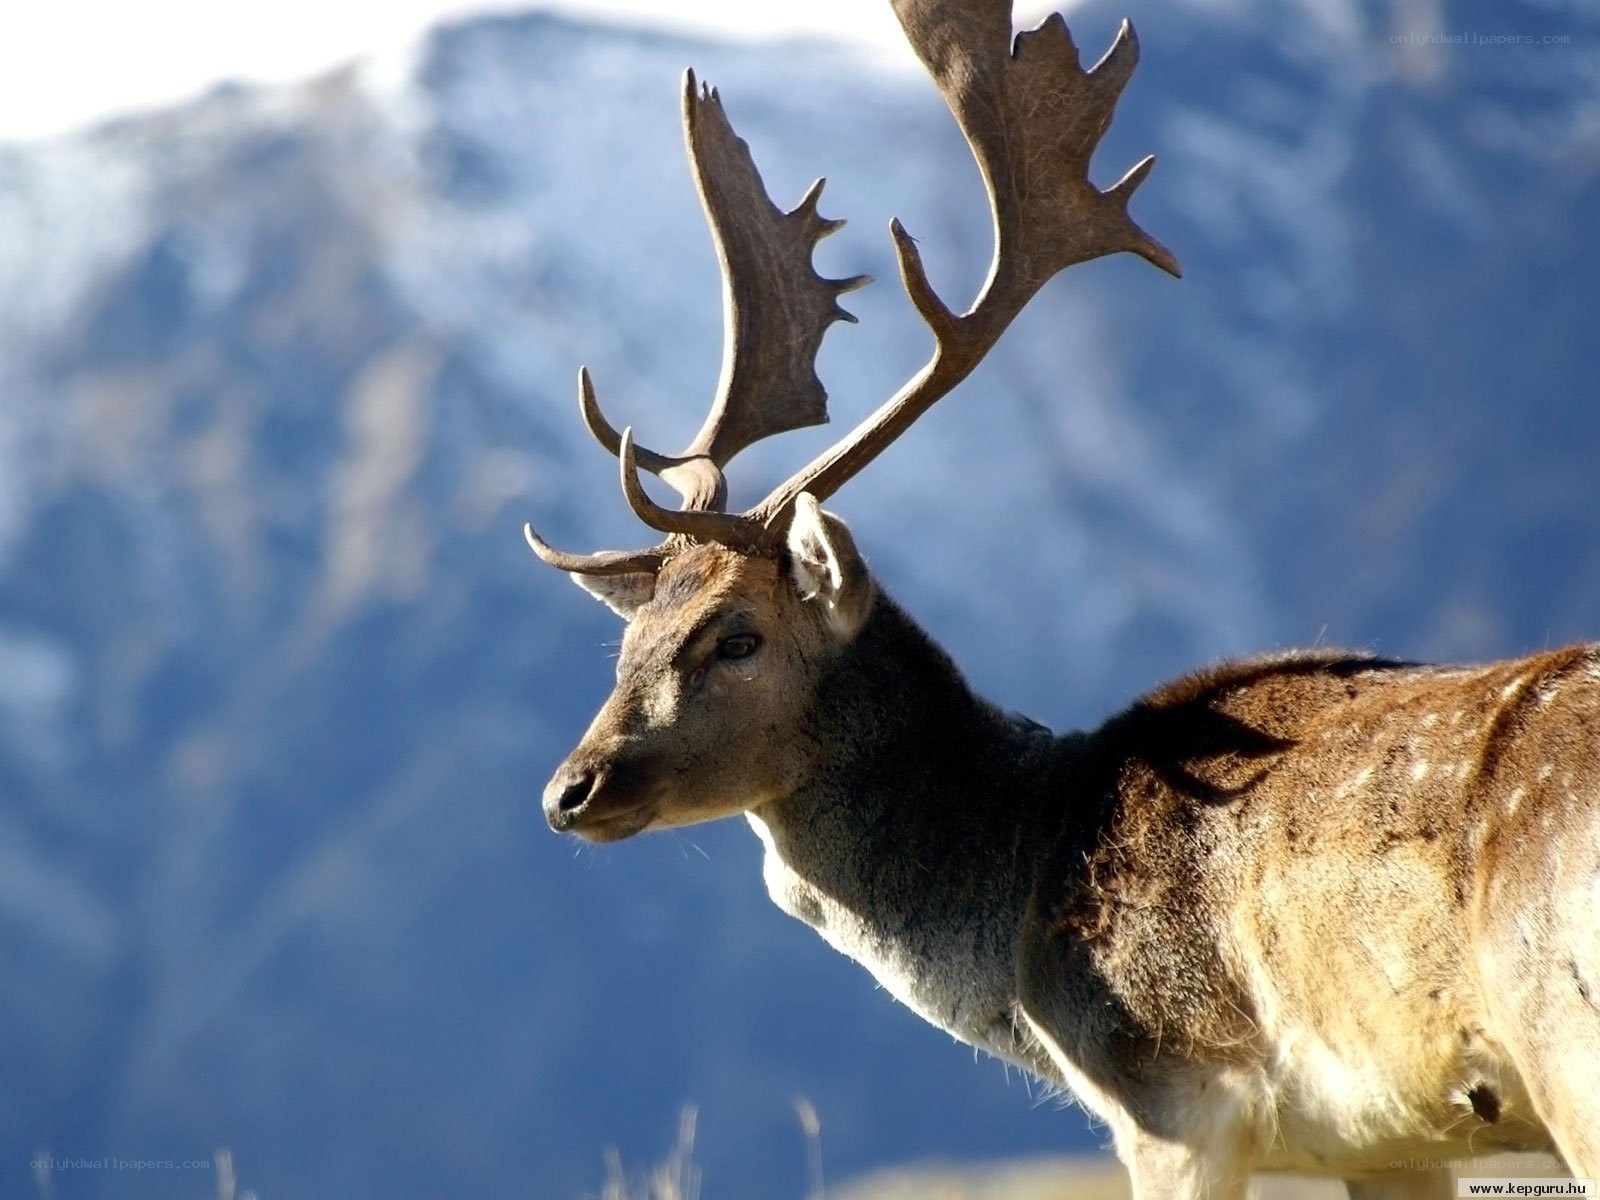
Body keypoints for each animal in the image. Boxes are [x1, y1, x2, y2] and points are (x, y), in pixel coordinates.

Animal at [522, 1, 1600, 1196]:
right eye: (629, 641)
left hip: (1564, 1039)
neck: (1023, 944)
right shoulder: (1394, 1138)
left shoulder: (1175, 1094)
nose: (569, 791)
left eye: (738, 637)